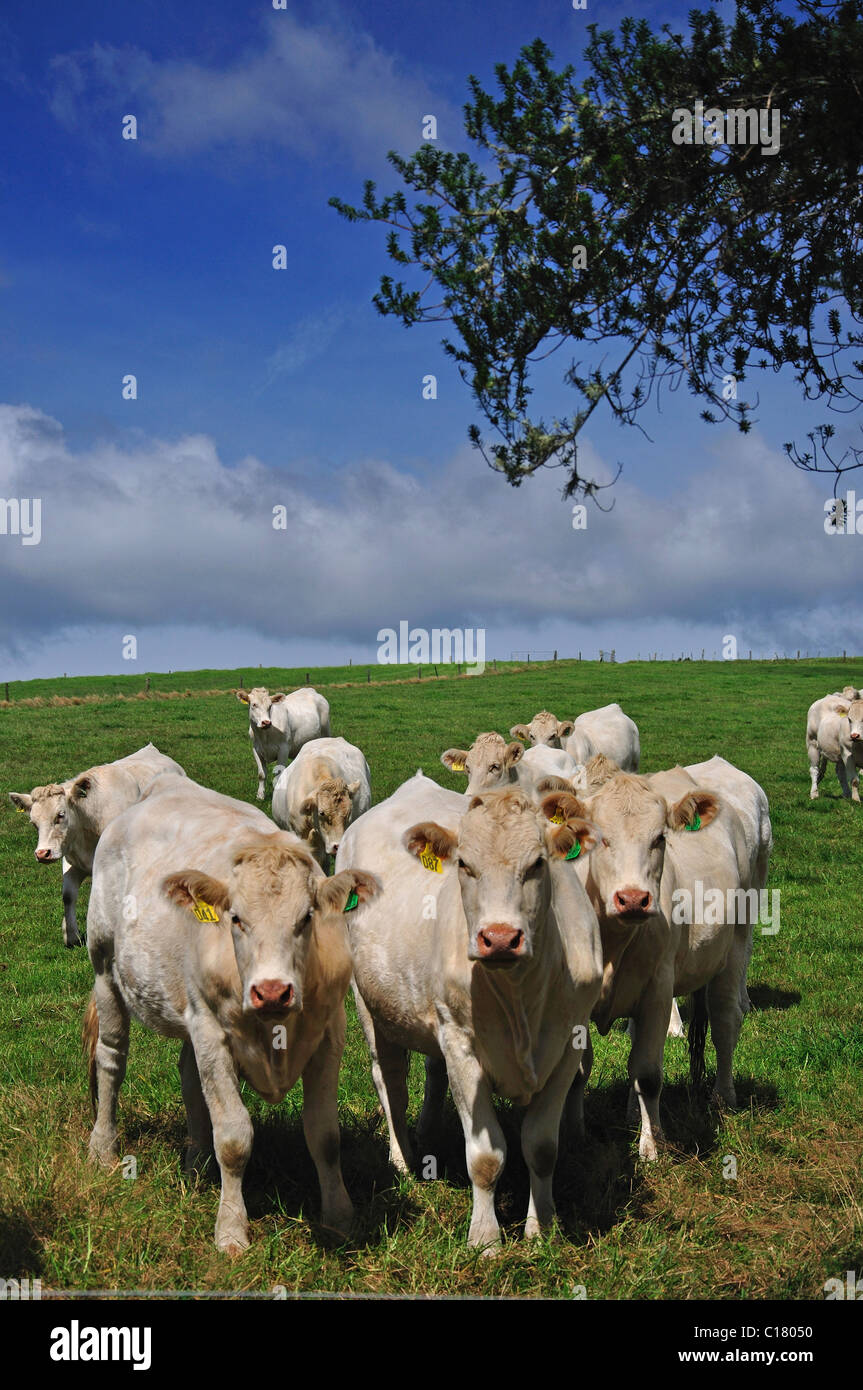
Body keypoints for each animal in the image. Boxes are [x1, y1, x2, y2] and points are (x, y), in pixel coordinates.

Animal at [9, 745, 184, 950]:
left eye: (60, 815)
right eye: (33, 822)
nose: (43, 853)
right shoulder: (71, 860)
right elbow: (68, 895)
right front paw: (72, 936)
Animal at [84, 778, 377, 1256]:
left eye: (307, 917)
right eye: (236, 919)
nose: (272, 990)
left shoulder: (329, 1034)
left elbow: (325, 1136)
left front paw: (339, 1218)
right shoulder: (212, 1033)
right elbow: (235, 1138)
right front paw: (231, 1230)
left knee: (188, 1077)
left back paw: (196, 1162)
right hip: (104, 965)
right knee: (111, 1057)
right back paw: (103, 1147)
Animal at [333, 778, 603, 1256]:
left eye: (537, 864)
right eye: (465, 865)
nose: (499, 938)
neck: (519, 995)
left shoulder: (568, 1042)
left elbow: (541, 1147)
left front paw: (541, 1227)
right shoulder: (462, 1045)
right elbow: (485, 1156)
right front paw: (485, 1238)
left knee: (431, 1073)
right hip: (370, 1005)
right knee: (389, 1081)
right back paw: (403, 1159)